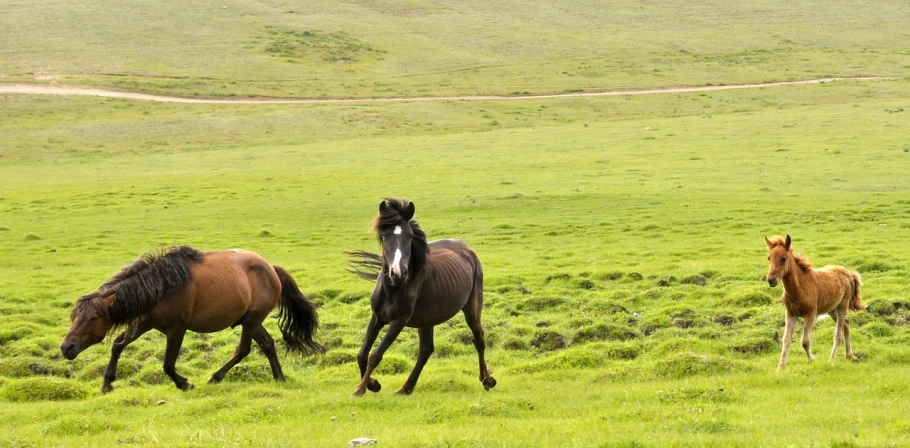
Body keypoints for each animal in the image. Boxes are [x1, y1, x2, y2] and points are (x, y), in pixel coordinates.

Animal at [60, 247, 324, 394]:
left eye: (93, 317)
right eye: (74, 317)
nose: (66, 347)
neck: (160, 286)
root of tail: (270, 267)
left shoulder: (176, 329)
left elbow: (168, 364)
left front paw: (184, 384)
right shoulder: (145, 322)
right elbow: (118, 345)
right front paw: (107, 384)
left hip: (251, 321)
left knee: (243, 349)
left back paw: (215, 377)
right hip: (251, 320)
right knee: (267, 344)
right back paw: (279, 377)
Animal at [348, 198, 496, 398]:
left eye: (410, 236)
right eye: (385, 236)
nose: (398, 274)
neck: (393, 289)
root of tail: (468, 249)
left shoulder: (399, 321)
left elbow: (375, 355)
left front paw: (361, 388)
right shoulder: (377, 318)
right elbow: (362, 354)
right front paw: (372, 384)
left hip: (472, 309)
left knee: (479, 339)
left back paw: (487, 380)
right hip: (426, 319)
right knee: (426, 350)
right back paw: (406, 388)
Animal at [764, 234, 864, 372]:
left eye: (783, 259)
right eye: (769, 258)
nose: (771, 280)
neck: (798, 288)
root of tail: (849, 273)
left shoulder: (810, 314)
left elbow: (805, 341)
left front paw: (812, 360)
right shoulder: (790, 314)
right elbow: (786, 339)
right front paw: (780, 368)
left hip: (842, 306)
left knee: (838, 334)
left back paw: (831, 361)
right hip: (832, 309)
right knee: (846, 324)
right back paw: (850, 356)